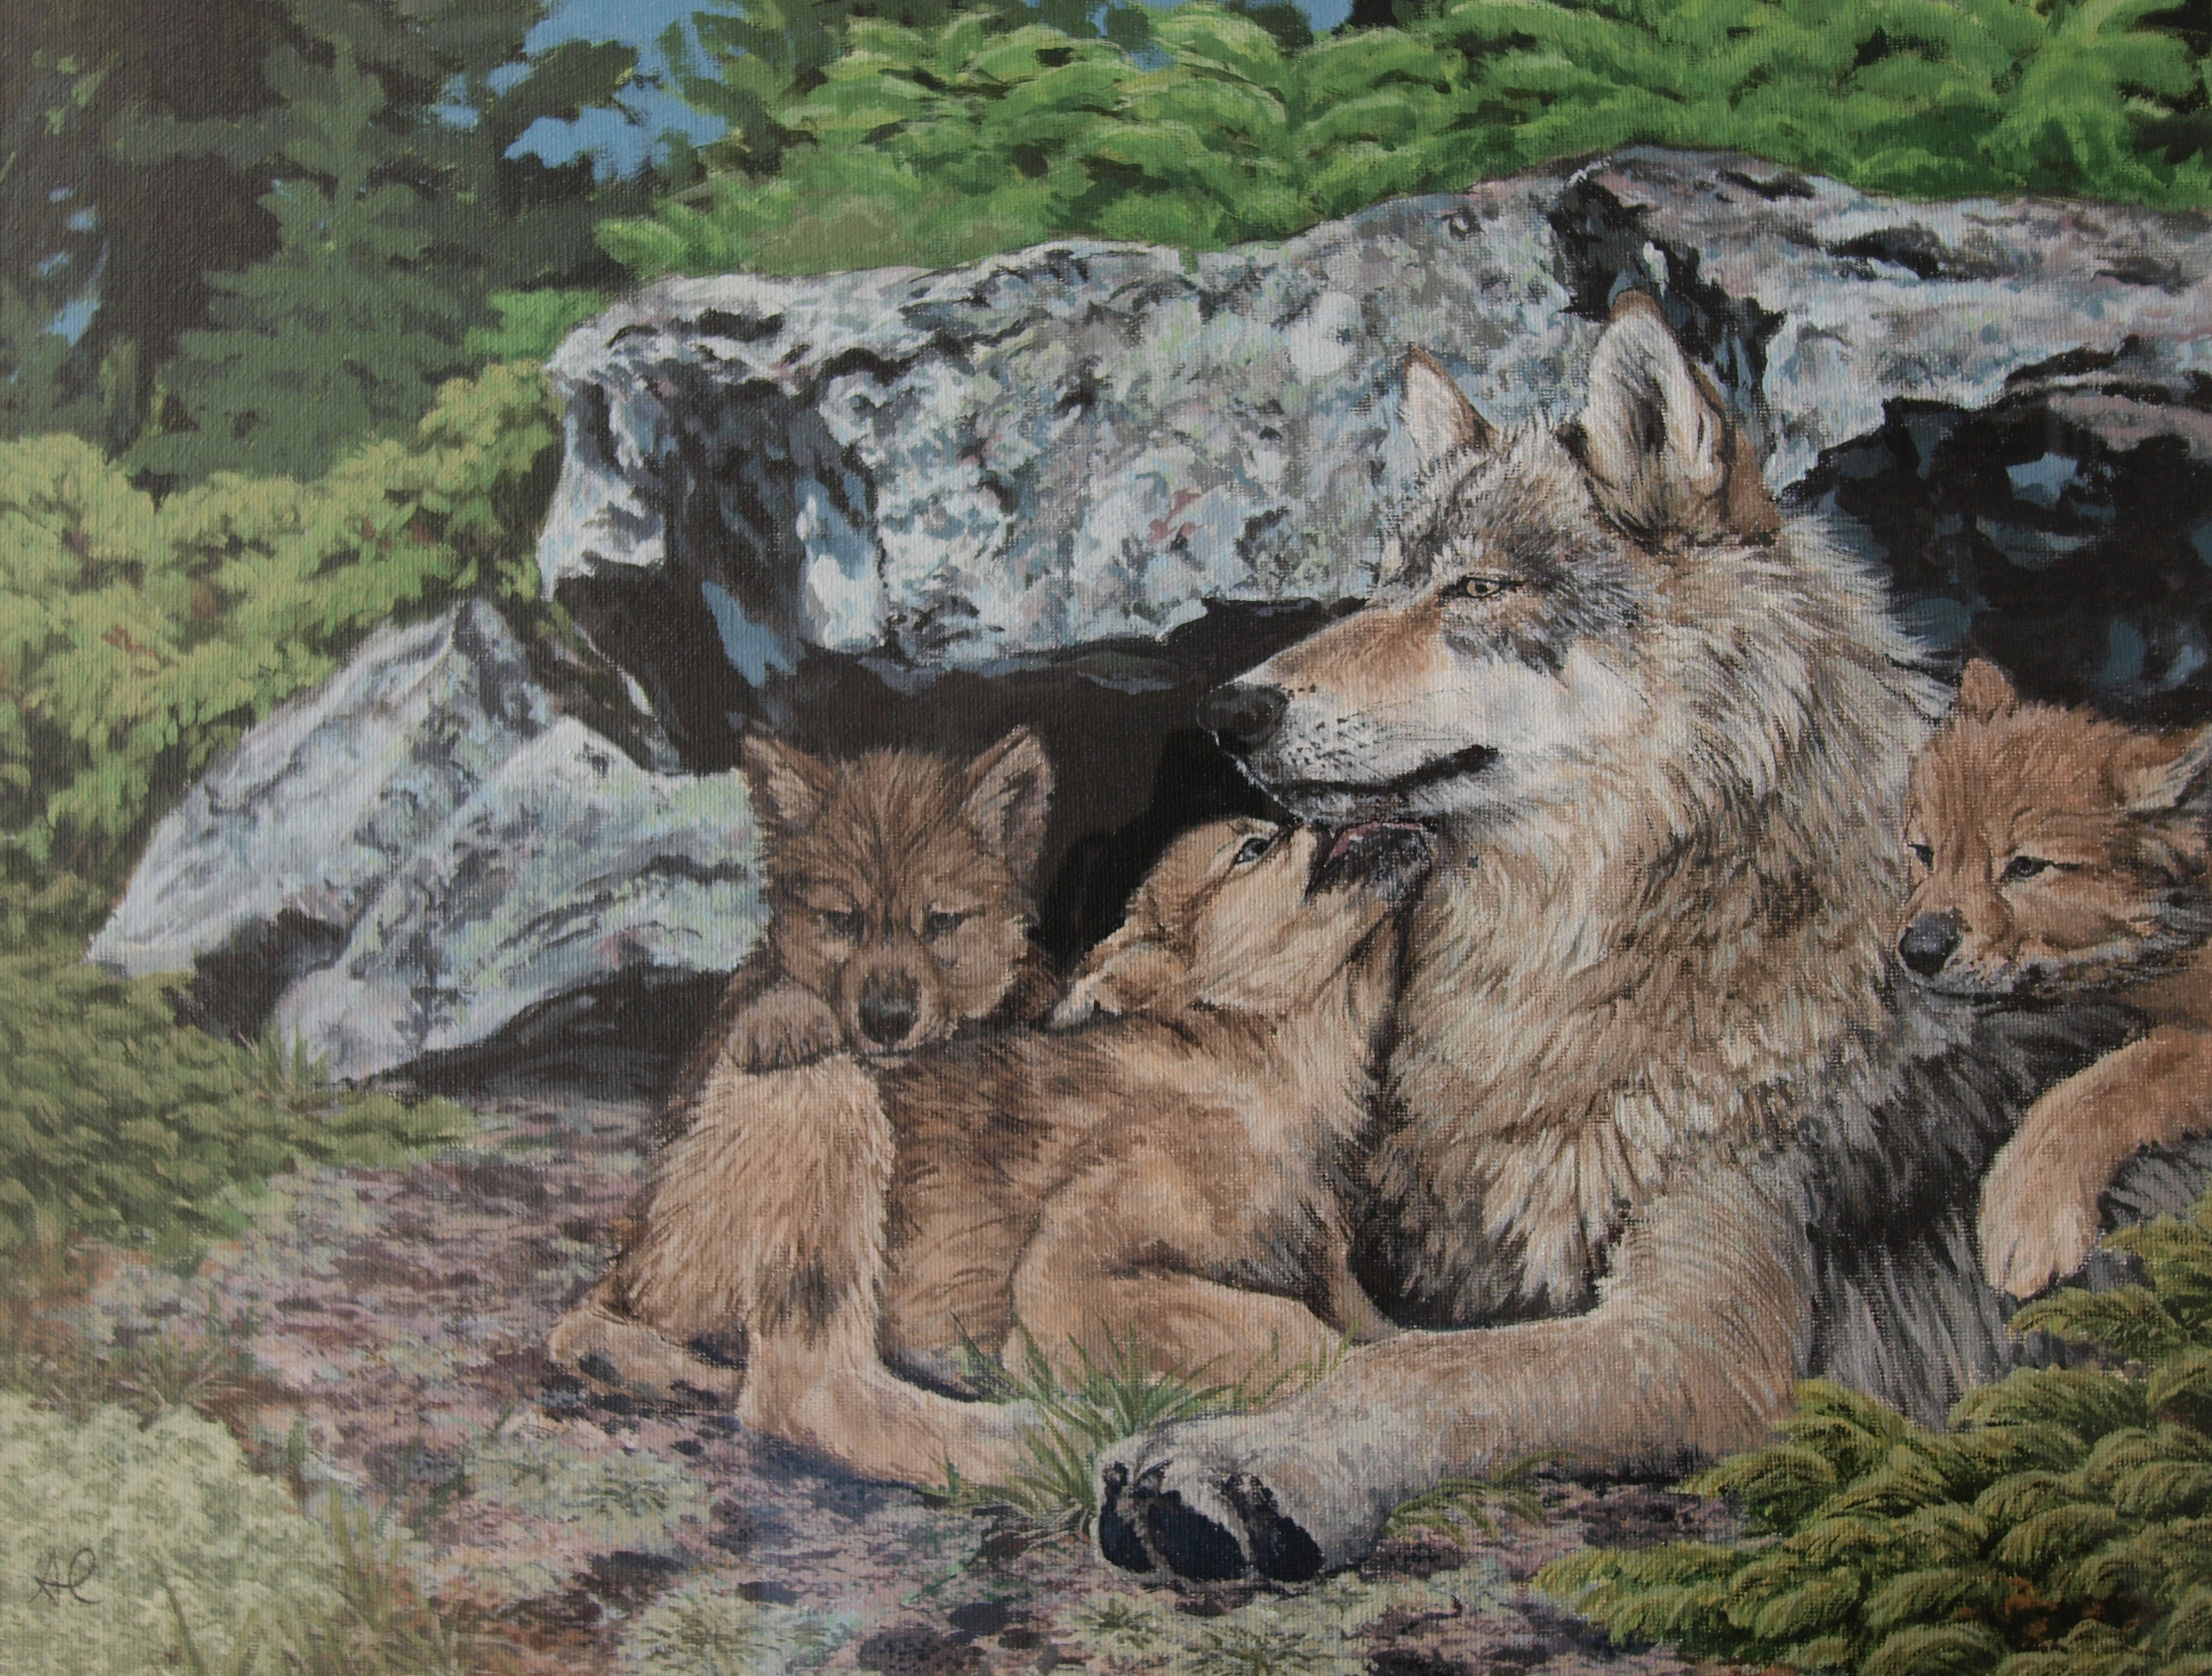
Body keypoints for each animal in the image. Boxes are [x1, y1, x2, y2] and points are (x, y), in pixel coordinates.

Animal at [1090, 292, 2139, 1584]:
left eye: (1478, 591)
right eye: (1382, 587)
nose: (1230, 710)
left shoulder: (1703, 1347)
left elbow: (1423, 1368)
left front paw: (1243, 1466)